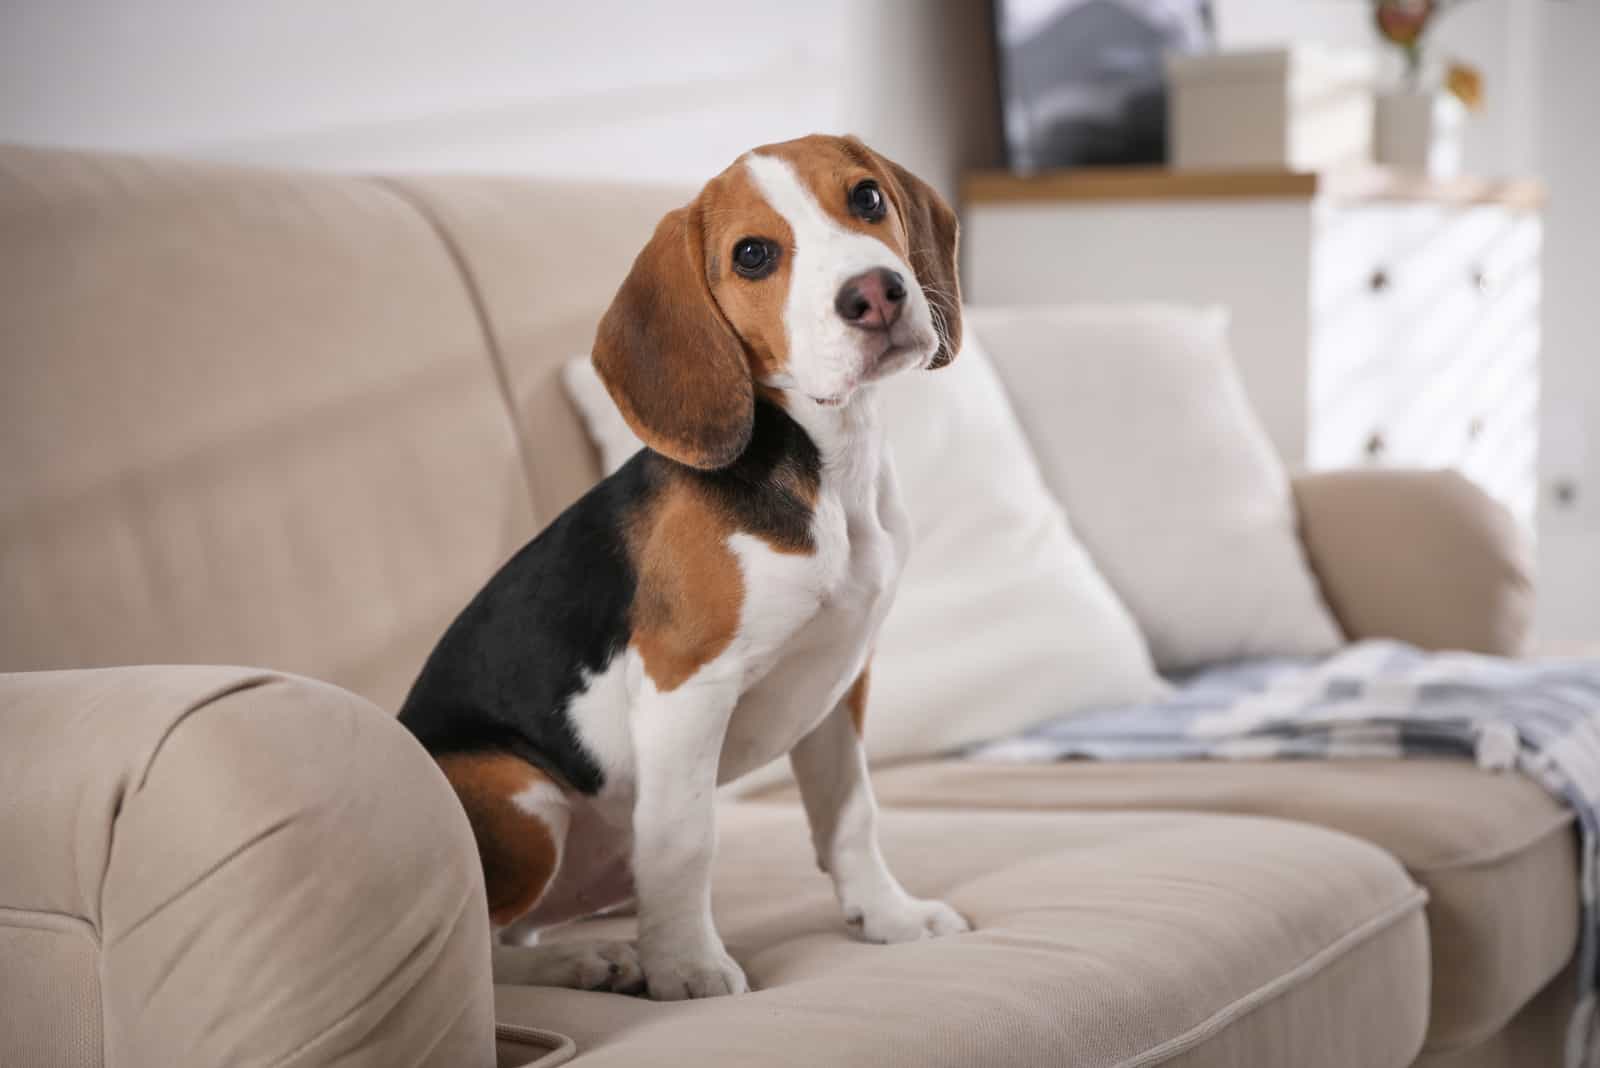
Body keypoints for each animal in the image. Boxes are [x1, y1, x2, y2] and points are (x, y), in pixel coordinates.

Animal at [406, 133, 966, 1004]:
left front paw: (888, 916)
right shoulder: (685, 687)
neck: (828, 473)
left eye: (867, 198)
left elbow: (850, 814)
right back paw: (590, 961)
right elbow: (683, 843)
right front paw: (689, 969)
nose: (874, 294)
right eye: (753, 254)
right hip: (517, 799)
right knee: (487, 951)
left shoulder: (840, 681)